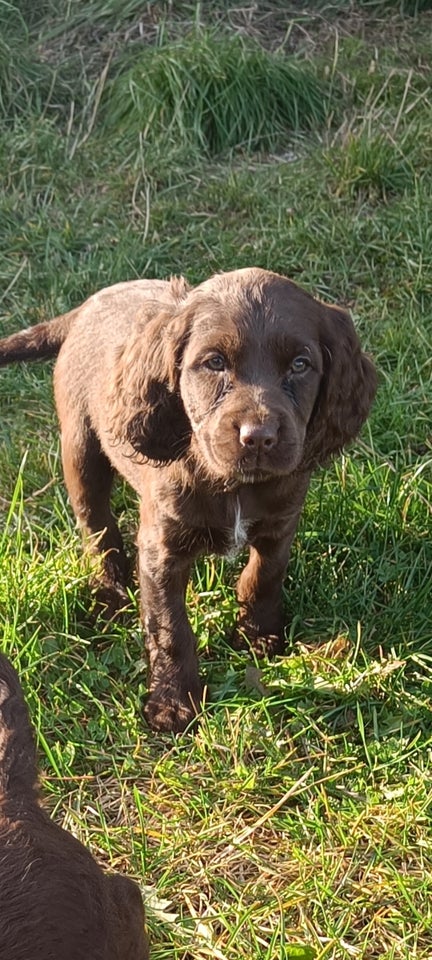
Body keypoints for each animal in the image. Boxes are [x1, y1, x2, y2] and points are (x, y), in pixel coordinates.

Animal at [0, 266, 376, 732]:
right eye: (214, 362)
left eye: (300, 364)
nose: (258, 437)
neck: (234, 483)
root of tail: (88, 304)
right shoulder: (160, 548)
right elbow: (170, 626)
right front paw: (174, 700)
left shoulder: (281, 521)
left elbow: (263, 576)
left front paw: (258, 635)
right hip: (81, 448)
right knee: (97, 526)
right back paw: (110, 591)